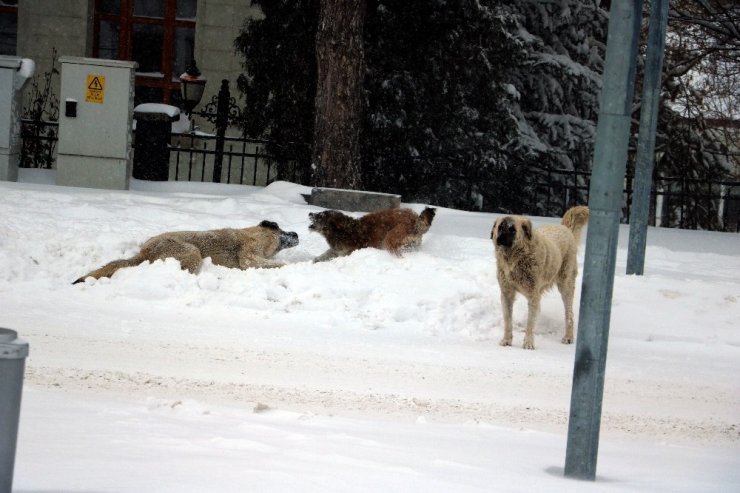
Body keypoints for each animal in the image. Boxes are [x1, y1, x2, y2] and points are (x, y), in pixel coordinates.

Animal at [72, 220, 298, 284]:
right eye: (283, 231)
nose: (296, 233)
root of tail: (144, 253)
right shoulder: (249, 256)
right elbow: (270, 263)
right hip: (191, 251)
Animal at [308, 207, 436, 262]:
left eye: (321, 216)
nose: (310, 213)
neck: (342, 230)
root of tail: (415, 220)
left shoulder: (346, 252)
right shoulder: (335, 251)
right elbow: (323, 255)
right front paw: (315, 260)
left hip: (390, 239)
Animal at [492, 206, 588, 348]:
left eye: (512, 229)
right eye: (500, 227)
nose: (501, 239)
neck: (515, 259)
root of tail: (565, 229)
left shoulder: (533, 296)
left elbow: (530, 322)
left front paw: (528, 343)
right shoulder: (506, 294)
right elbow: (508, 321)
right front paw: (506, 340)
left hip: (566, 286)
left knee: (569, 314)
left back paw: (568, 337)